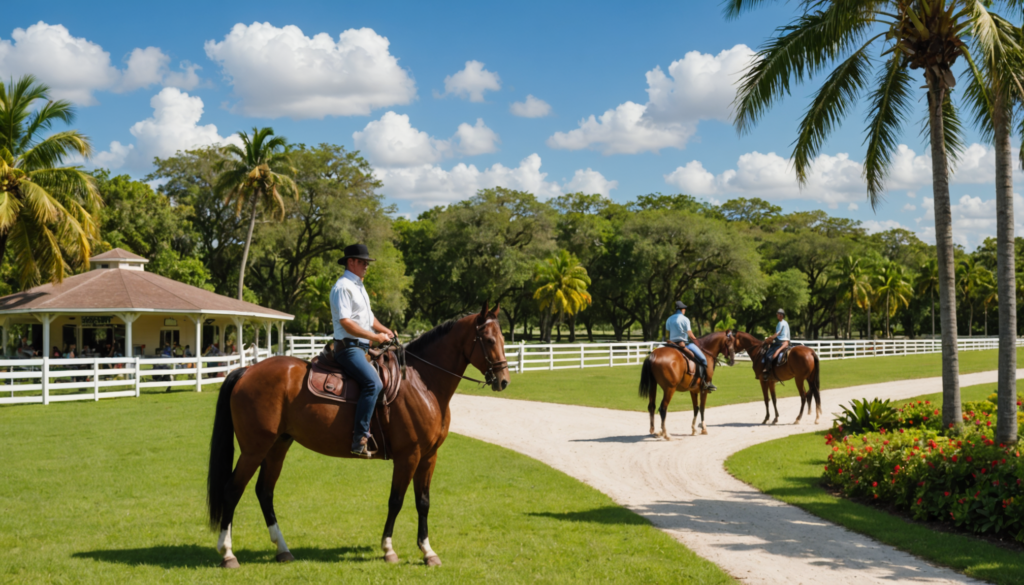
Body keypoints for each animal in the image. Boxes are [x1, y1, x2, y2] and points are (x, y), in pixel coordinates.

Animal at [206, 304, 511, 569]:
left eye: (503, 337)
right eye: (487, 339)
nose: (503, 380)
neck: (421, 383)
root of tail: (246, 371)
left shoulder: (428, 456)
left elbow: (423, 502)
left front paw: (428, 552)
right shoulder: (408, 456)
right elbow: (396, 500)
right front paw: (388, 549)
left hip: (278, 446)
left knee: (264, 491)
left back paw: (282, 550)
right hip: (254, 449)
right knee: (232, 490)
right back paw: (228, 554)